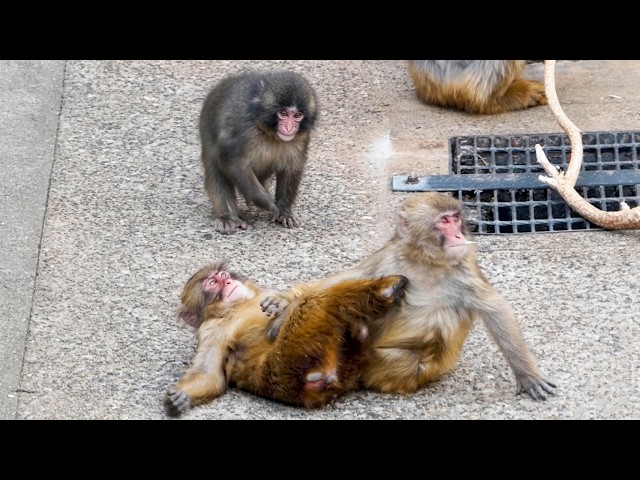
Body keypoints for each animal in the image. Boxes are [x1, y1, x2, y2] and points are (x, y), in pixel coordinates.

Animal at [163, 261, 407, 417]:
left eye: (223, 277)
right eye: (212, 284)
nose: (228, 283)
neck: (236, 306)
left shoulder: (262, 294)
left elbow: (289, 294)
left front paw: (280, 304)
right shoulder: (211, 330)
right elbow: (209, 374)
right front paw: (183, 397)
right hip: (290, 361)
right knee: (315, 303)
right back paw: (386, 290)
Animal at [198, 70, 319, 234]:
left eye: (297, 115)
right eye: (283, 113)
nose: (289, 128)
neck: (268, 131)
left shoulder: (301, 137)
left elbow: (291, 168)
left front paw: (285, 212)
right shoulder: (242, 127)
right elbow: (233, 162)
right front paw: (269, 204)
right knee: (216, 164)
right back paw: (227, 217)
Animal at [264, 192, 557, 401]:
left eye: (456, 219)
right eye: (445, 221)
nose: (458, 233)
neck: (424, 262)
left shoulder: (464, 272)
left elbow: (495, 310)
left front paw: (528, 376)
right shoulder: (389, 256)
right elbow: (348, 277)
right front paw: (286, 303)